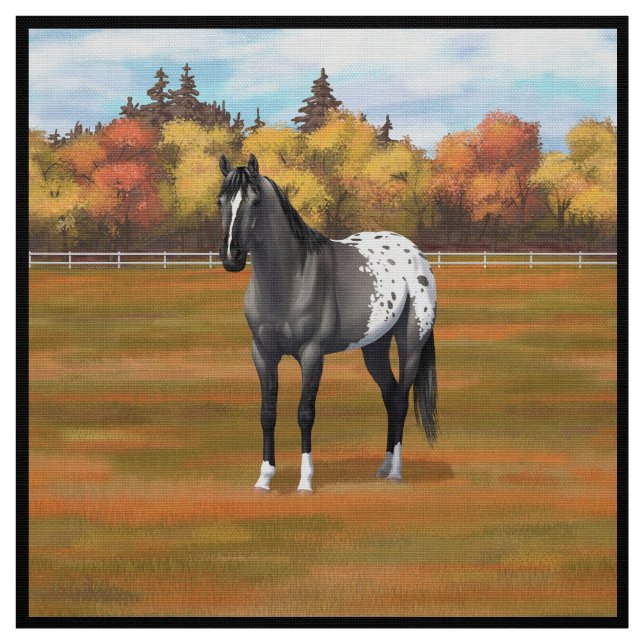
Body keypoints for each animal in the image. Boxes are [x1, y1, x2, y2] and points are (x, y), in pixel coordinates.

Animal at [218, 154, 438, 493]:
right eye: (220, 202)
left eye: (255, 202)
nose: (232, 257)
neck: (292, 279)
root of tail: (415, 253)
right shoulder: (262, 354)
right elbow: (267, 413)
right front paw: (264, 478)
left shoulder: (312, 355)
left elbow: (305, 413)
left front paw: (305, 482)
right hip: (375, 347)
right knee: (389, 396)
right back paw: (383, 466)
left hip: (411, 344)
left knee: (400, 399)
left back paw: (396, 473)